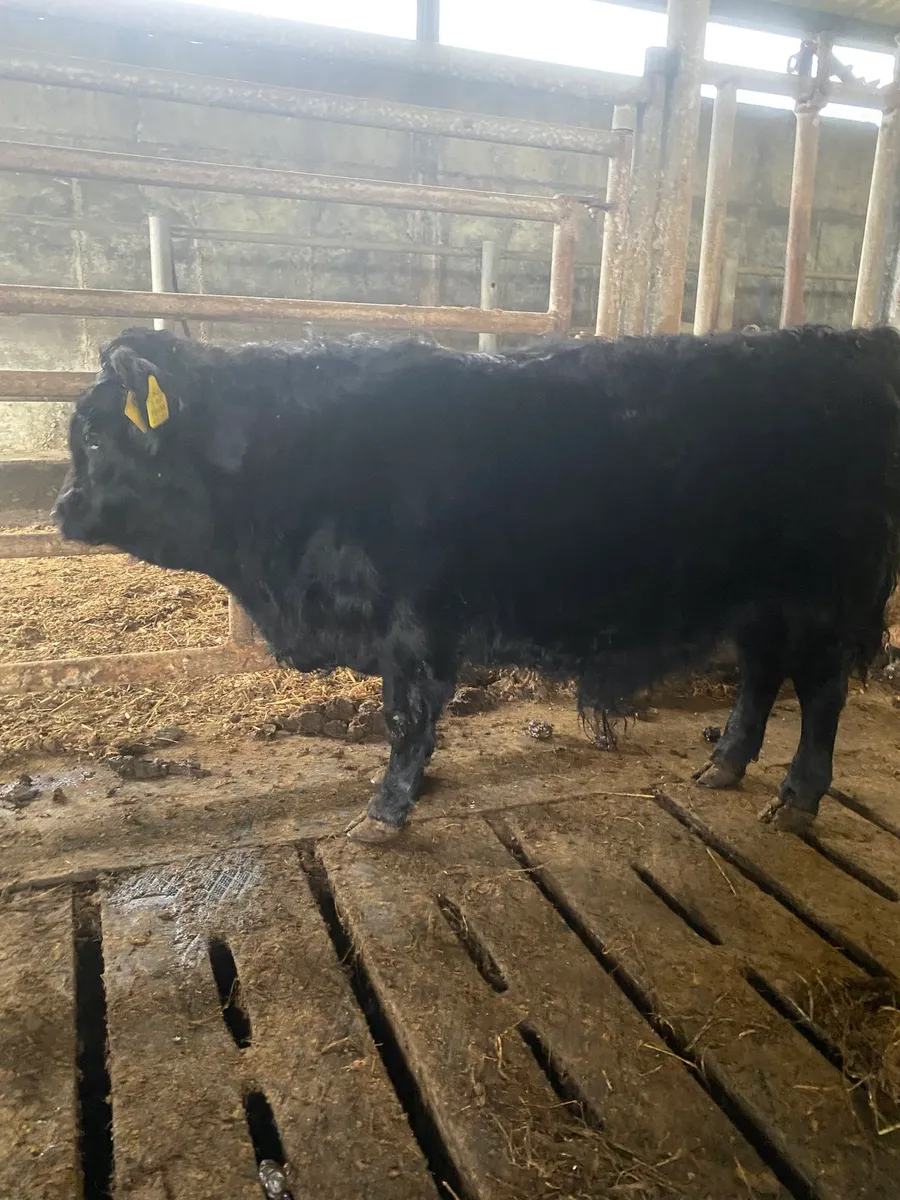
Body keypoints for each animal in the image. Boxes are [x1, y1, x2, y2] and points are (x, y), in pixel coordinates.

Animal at [53, 324, 900, 843]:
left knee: (821, 692)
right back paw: (723, 765)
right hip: (763, 600)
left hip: (826, 596)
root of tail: (852, 345)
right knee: (761, 675)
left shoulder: (414, 622)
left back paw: (797, 799)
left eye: (94, 434)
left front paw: (386, 810)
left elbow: (405, 718)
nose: (62, 508)